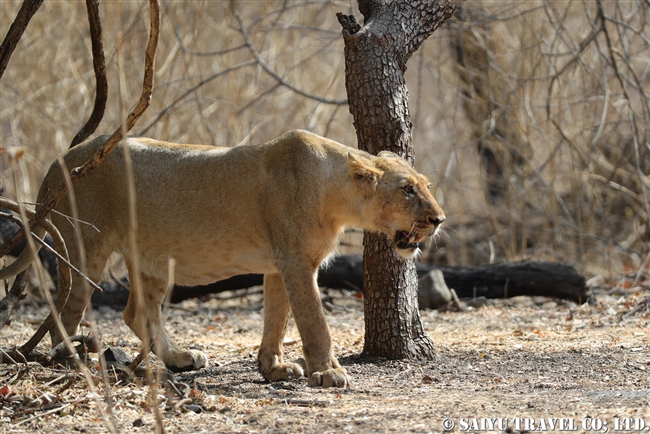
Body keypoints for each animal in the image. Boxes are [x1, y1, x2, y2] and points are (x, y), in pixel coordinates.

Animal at [0, 129, 442, 386]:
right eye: (407, 189)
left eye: (426, 184)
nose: (438, 219)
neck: (338, 193)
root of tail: (58, 162)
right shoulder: (297, 262)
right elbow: (314, 322)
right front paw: (327, 372)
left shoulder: (280, 265)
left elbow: (276, 319)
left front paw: (274, 368)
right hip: (86, 246)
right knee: (67, 310)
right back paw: (71, 360)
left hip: (150, 257)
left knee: (136, 311)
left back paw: (179, 358)